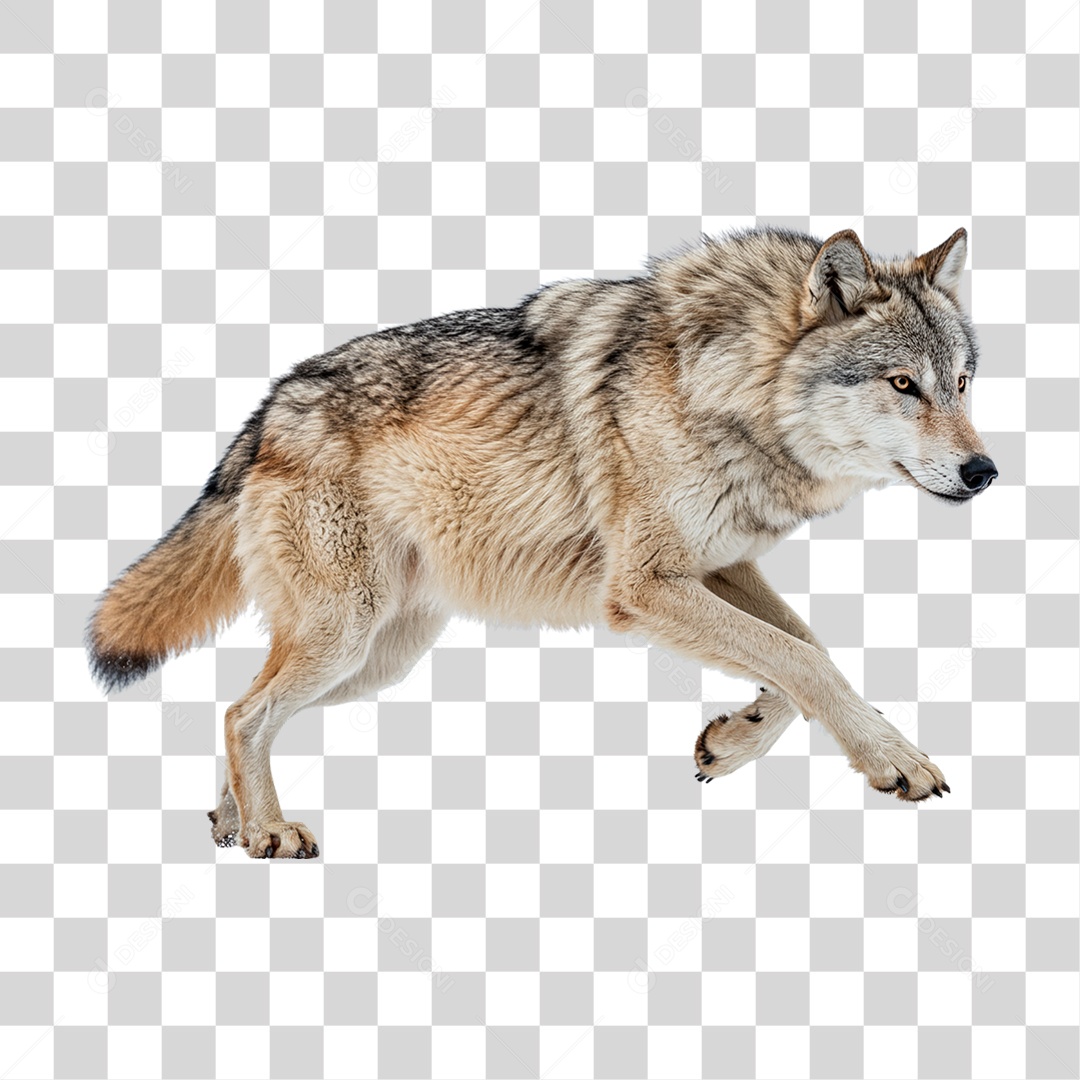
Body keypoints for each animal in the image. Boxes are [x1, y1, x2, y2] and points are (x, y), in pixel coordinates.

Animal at [87, 226, 996, 858]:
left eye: (960, 383)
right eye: (903, 384)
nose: (984, 470)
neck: (720, 386)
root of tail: (267, 410)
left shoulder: (716, 564)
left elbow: (805, 651)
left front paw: (732, 741)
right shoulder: (646, 586)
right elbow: (803, 659)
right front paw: (895, 760)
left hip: (374, 660)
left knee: (242, 709)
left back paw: (238, 821)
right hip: (346, 638)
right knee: (245, 710)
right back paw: (270, 833)